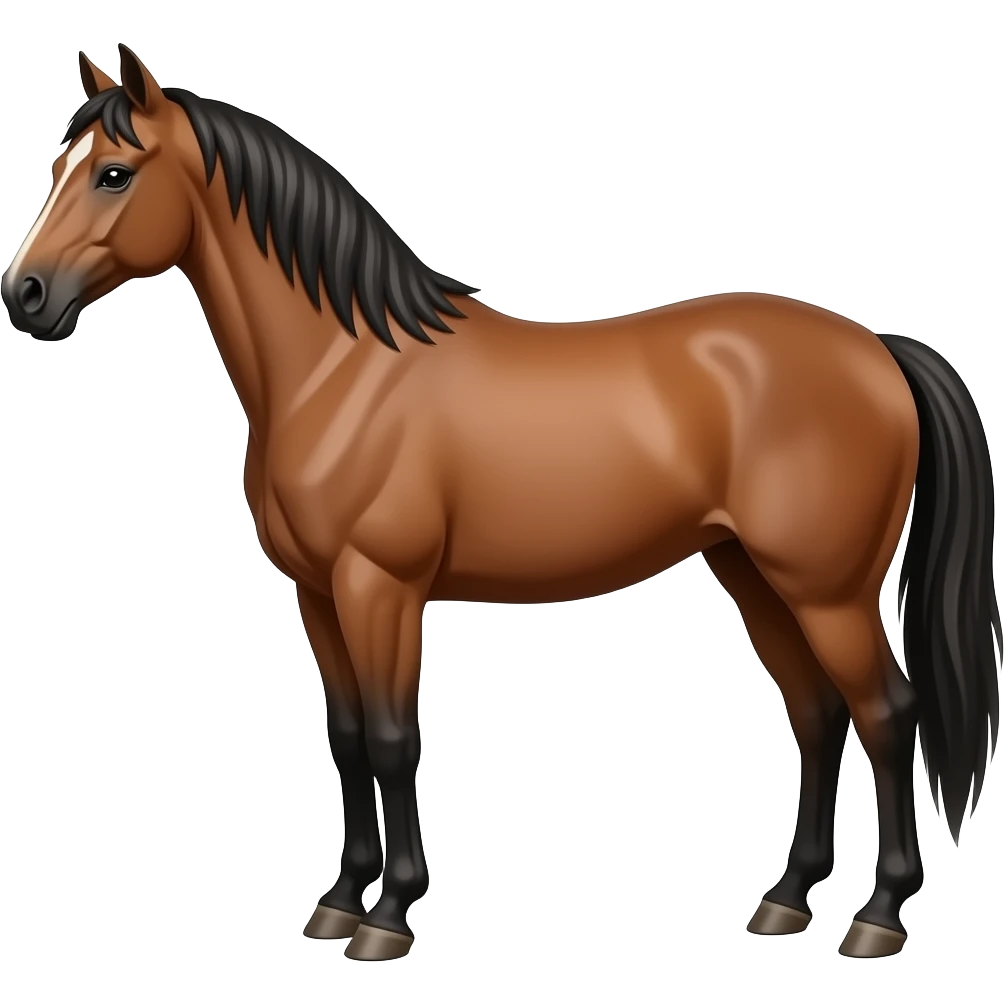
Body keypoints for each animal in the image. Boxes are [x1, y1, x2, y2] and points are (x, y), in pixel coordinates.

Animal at [3, 45, 1001, 962]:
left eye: (114, 172)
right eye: (59, 167)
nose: (26, 295)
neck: (343, 369)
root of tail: (875, 347)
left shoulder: (380, 586)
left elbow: (393, 736)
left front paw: (388, 916)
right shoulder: (318, 594)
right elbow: (346, 736)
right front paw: (338, 902)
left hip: (826, 589)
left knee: (887, 713)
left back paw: (876, 917)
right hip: (753, 575)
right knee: (818, 714)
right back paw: (786, 899)